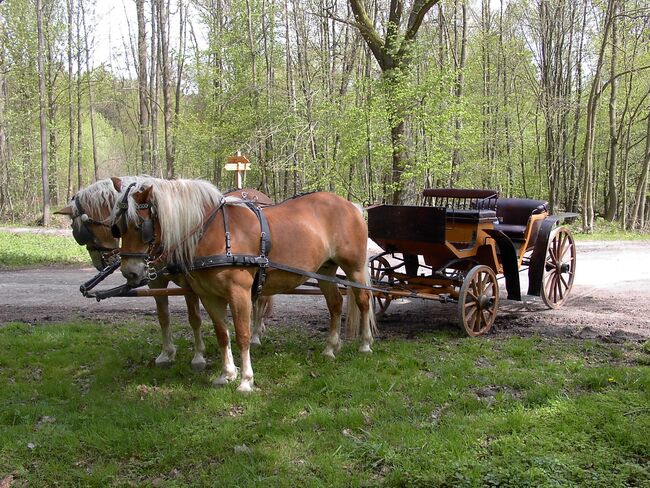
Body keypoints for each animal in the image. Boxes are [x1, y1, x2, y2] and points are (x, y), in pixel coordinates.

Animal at [110, 178, 374, 392]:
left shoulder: (239, 293)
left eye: (139, 226)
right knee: (335, 304)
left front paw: (246, 380)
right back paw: (330, 348)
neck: (213, 233)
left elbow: (243, 335)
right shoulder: (209, 296)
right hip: (324, 270)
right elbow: (222, 334)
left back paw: (365, 344)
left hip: (354, 269)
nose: (130, 271)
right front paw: (226, 374)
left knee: (363, 301)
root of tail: (351, 206)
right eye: (117, 228)